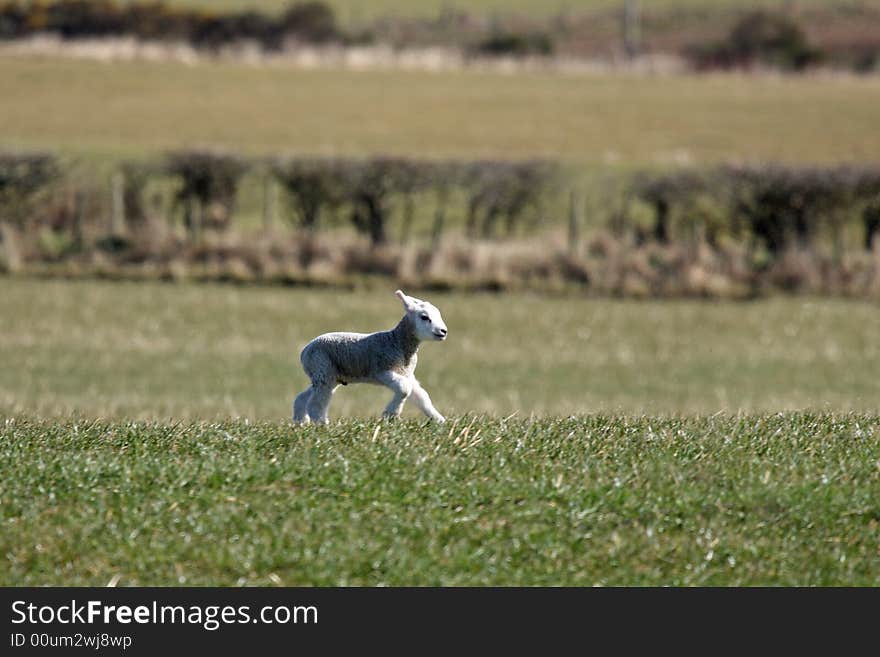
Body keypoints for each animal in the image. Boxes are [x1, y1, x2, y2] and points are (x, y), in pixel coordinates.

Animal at [294, 290, 446, 422]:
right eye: (424, 317)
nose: (443, 331)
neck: (397, 342)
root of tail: (304, 351)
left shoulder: (407, 374)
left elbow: (422, 397)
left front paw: (439, 420)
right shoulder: (381, 370)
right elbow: (404, 389)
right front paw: (390, 414)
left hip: (329, 375)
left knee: (302, 397)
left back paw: (300, 422)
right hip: (322, 368)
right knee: (315, 404)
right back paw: (323, 424)